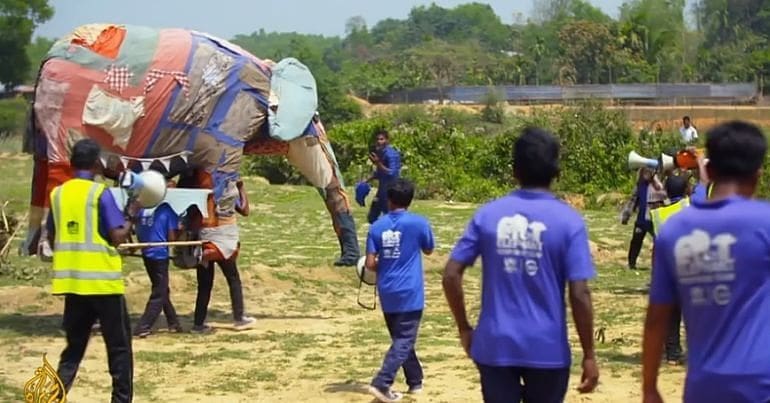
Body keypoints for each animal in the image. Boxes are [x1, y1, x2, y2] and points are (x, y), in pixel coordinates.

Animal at [21, 23, 360, 266]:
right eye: (315, 117)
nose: (342, 262)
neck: (267, 73)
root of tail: (46, 59)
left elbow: (198, 180)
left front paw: (194, 253)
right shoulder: (230, 120)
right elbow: (219, 177)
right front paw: (218, 251)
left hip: (47, 121)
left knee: (43, 172)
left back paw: (37, 250)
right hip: (62, 114)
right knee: (60, 172)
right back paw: (54, 251)